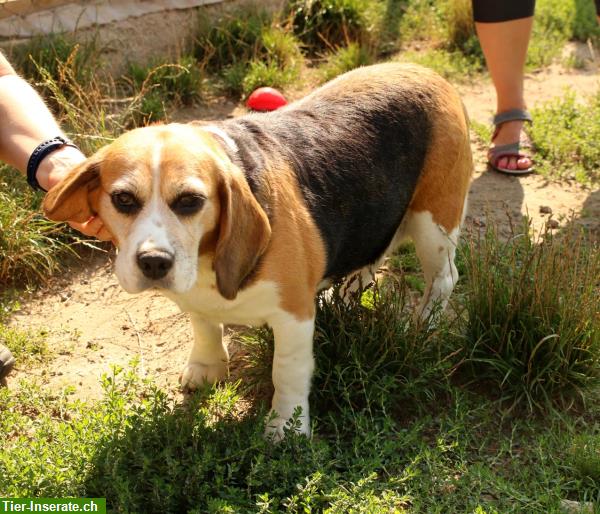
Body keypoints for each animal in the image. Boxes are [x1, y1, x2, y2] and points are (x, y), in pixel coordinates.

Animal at [43, 62, 474, 438]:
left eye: (190, 201)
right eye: (123, 200)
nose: (153, 262)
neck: (207, 260)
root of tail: (428, 72)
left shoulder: (294, 316)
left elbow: (286, 370)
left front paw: (286, 428)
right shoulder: (198, 299)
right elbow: (204, 325)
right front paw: (207, 366)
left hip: (433, 221)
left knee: (444, 277)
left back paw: (422, 324)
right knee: (370, 258)